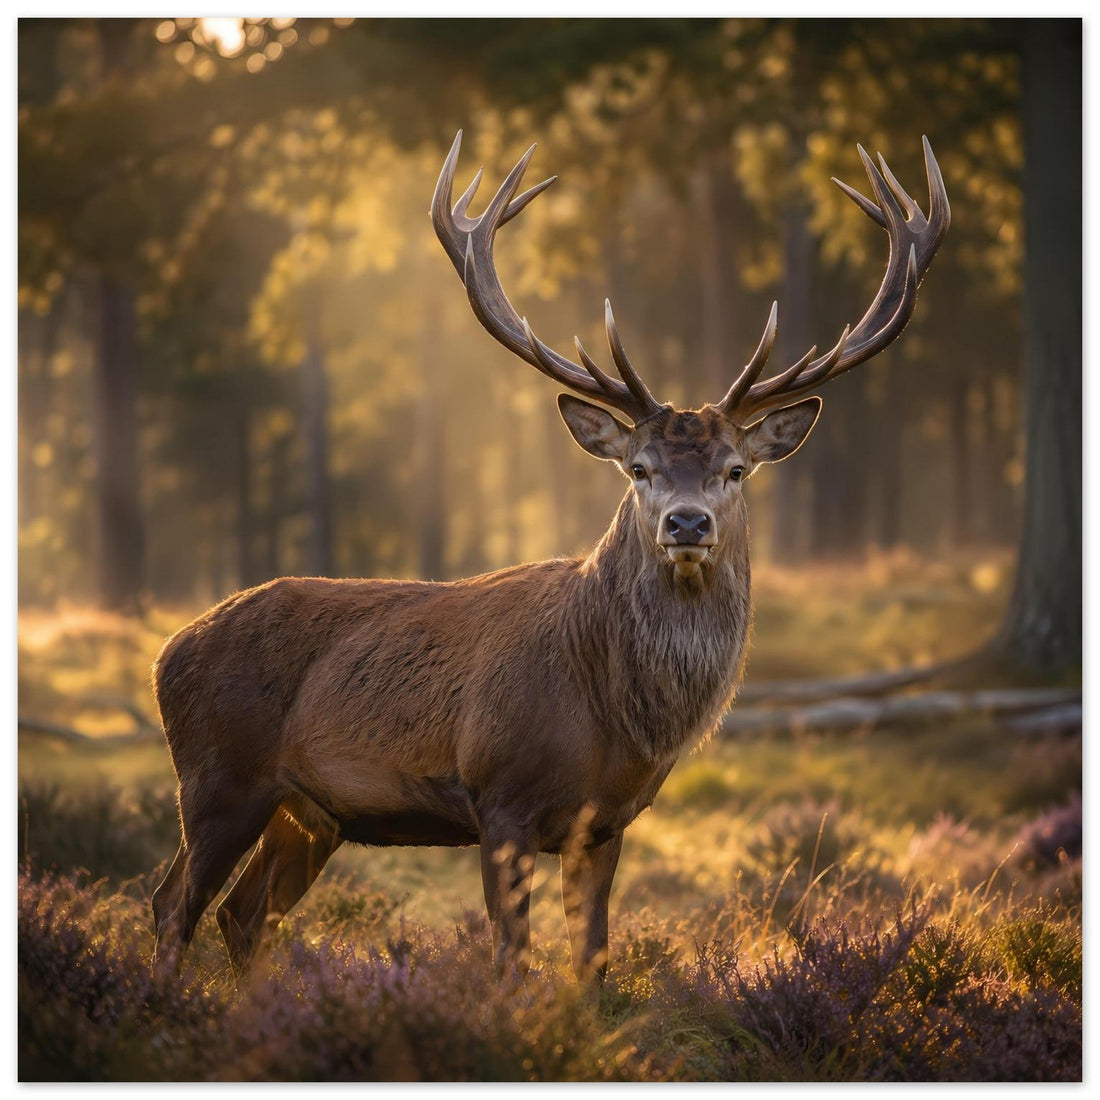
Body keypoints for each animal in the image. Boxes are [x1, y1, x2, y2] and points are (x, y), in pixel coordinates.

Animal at [150, 131, 949, 982]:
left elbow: (591, 959)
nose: (687, 523)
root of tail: (168, 651)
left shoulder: (607, 821)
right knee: (175, 903)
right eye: (639, 469)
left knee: (243, 913)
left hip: (312, 811)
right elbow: (510, 958)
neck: (610, 713)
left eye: (736, 469)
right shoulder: (499, 797)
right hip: (217, 777)